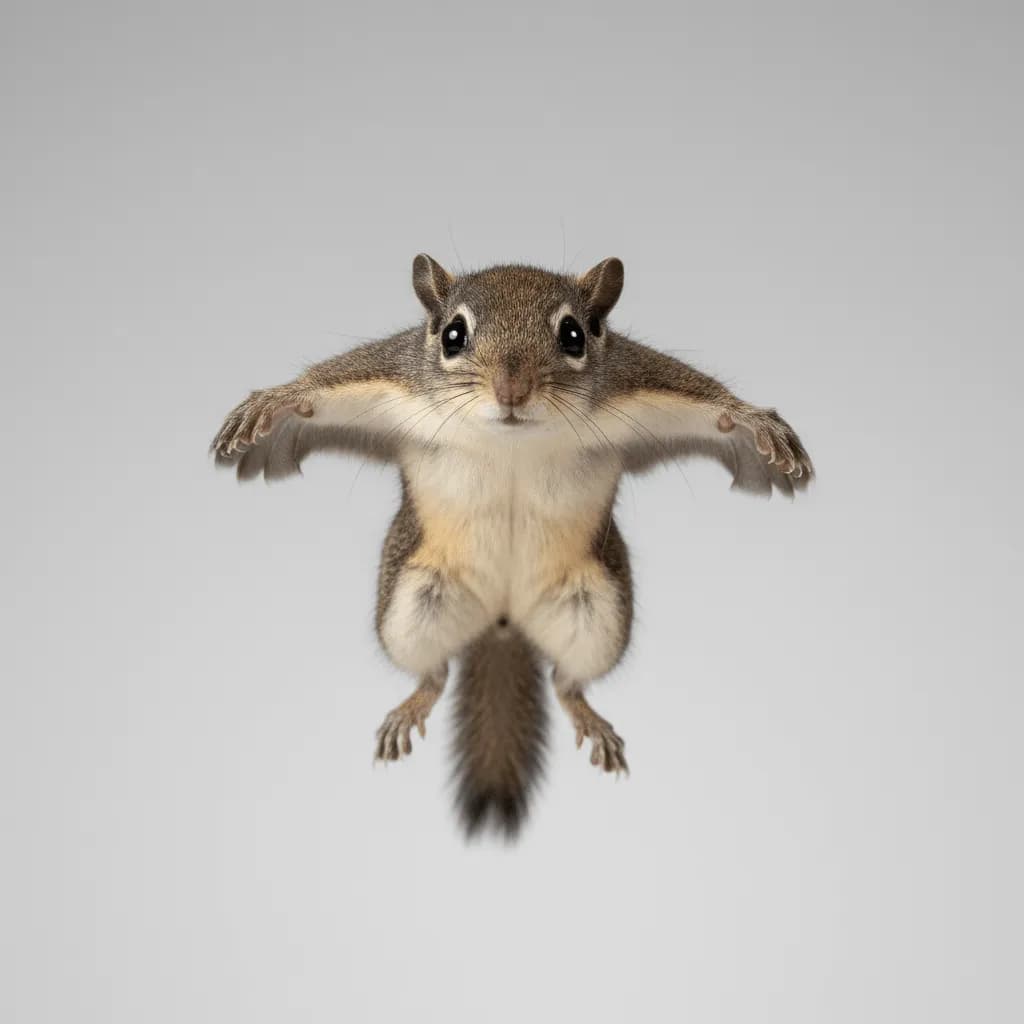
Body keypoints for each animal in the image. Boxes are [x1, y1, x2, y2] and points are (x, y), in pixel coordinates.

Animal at [212, 254, 814, 838]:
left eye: (574, 335)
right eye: (453, 335)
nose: (511, 391)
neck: (511, 438)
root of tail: (503, 622)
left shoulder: (632, 385)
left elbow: (707, 402)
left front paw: (751, 422)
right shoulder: (394, 382)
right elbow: (327, 385)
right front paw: (277, 403)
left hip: (597, 611)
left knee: (566, 681)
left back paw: (585, 713)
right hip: (415, 601)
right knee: (435, 673)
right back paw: (414, 702)